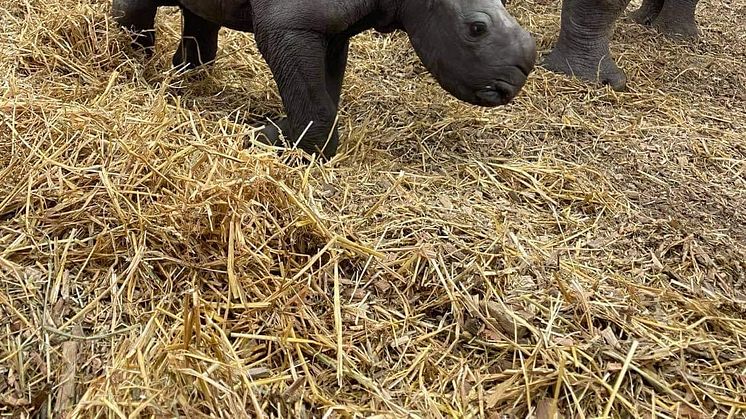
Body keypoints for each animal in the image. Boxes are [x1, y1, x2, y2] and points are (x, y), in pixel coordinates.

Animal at [112, 0, 536, 160]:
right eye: (476, 29)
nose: (511, 84)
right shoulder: (287, 25)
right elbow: (315, 105)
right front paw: (265, 137)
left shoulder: (334, 31)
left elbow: (326, 93)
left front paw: (279, 132)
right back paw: (129, 63)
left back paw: (183, 75)